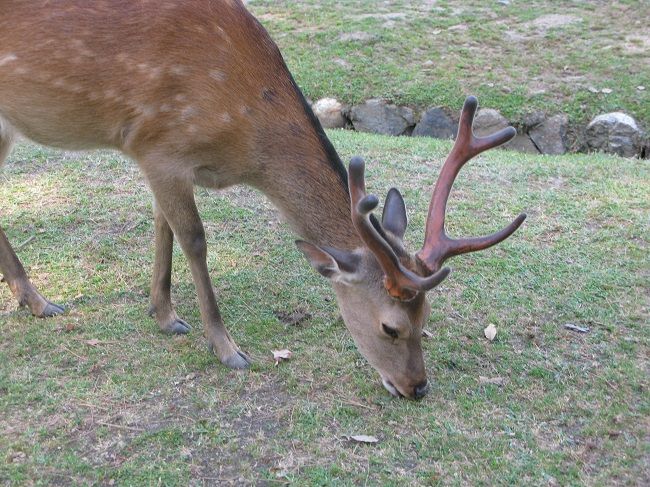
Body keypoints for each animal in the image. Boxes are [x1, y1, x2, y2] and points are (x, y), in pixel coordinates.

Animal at [0, 0, 525, 399]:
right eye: (390, 327)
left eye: (427, 318)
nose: (417, 388)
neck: (245, 139)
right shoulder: (157, 146)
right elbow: (194, 240)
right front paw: (226, 348)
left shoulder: (163, 163)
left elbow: (161, 226)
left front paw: (164, 314)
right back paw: (40, 300)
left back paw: (33, 299)